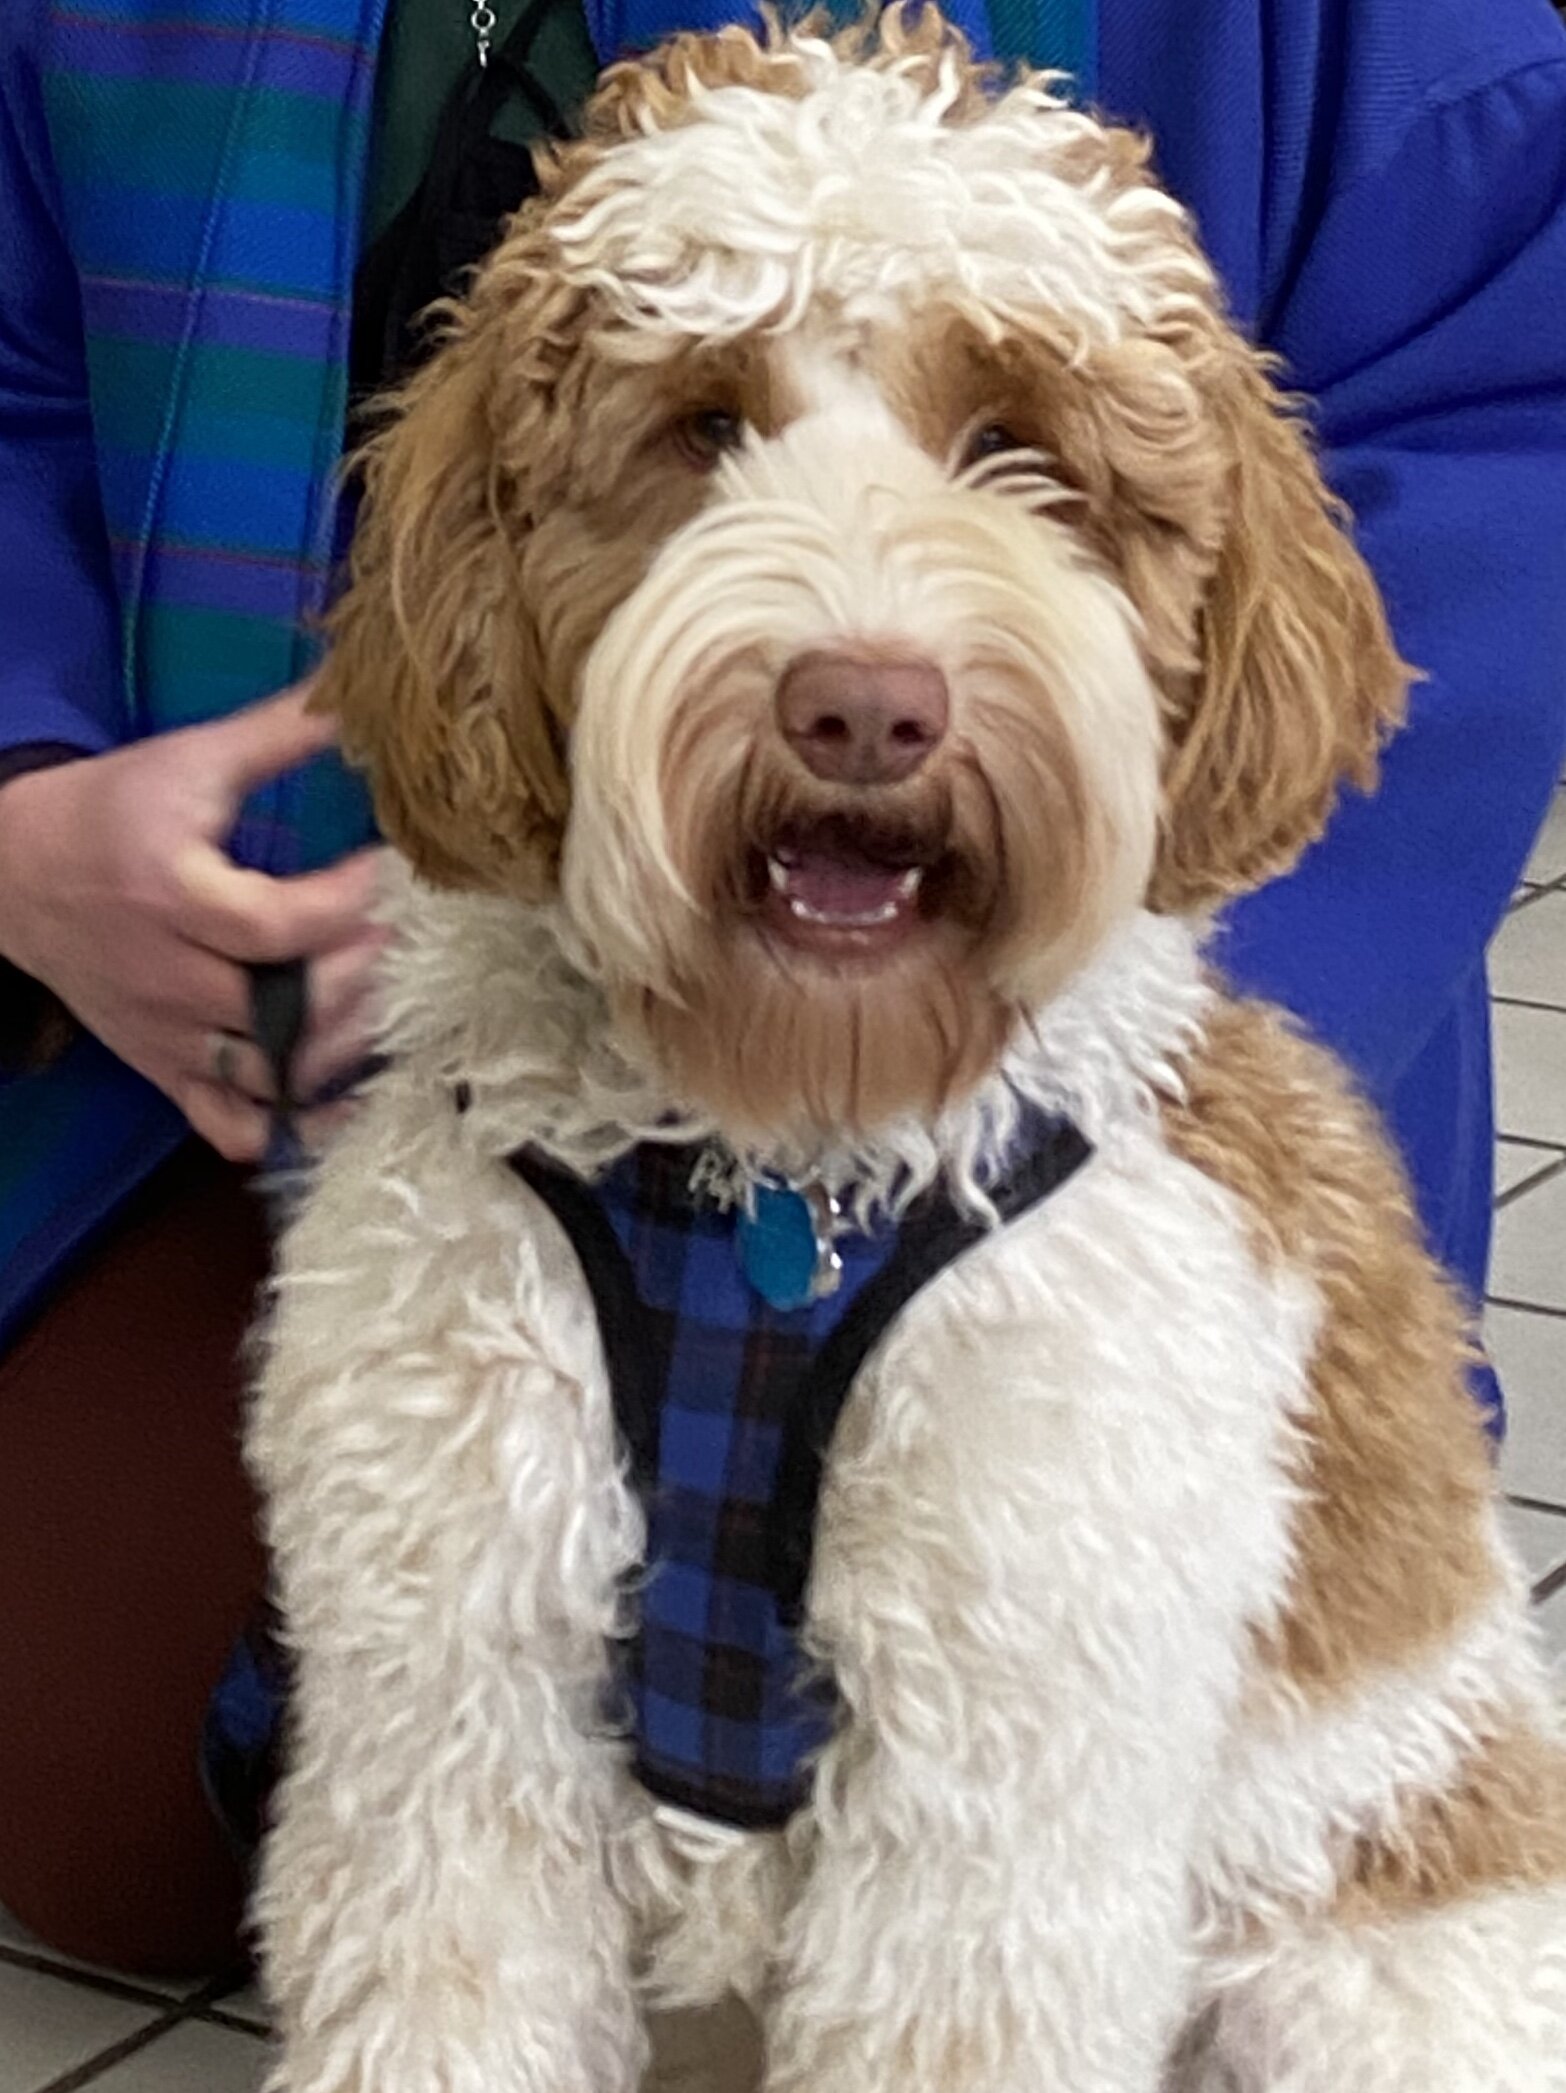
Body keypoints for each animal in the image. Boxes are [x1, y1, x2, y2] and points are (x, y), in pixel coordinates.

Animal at [244, 8, 1566, 2084]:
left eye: (1019, 445)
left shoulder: (998, 1769)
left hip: (1368, 1983)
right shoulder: (454, 1694)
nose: (863, 707)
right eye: (702, 425)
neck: (776, 1167)